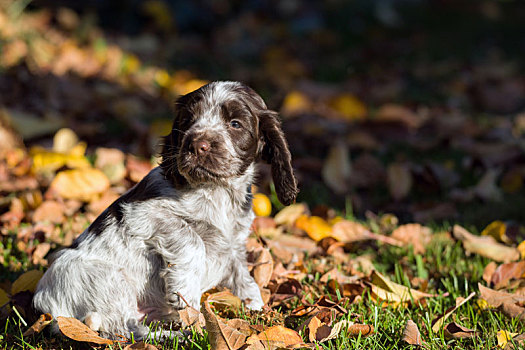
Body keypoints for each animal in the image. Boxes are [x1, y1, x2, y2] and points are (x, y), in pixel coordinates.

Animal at [32, 81, 296, 340]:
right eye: (188, 120)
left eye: (235, 124)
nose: (196, 145)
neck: (217, 191)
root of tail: (46, 308)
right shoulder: (146, 213)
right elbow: (191, 240)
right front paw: (186, 293)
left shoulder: (234, 242)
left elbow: (242, 275)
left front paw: (255, 308)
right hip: (107, 280)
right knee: (124, 329)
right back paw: (179, 335)